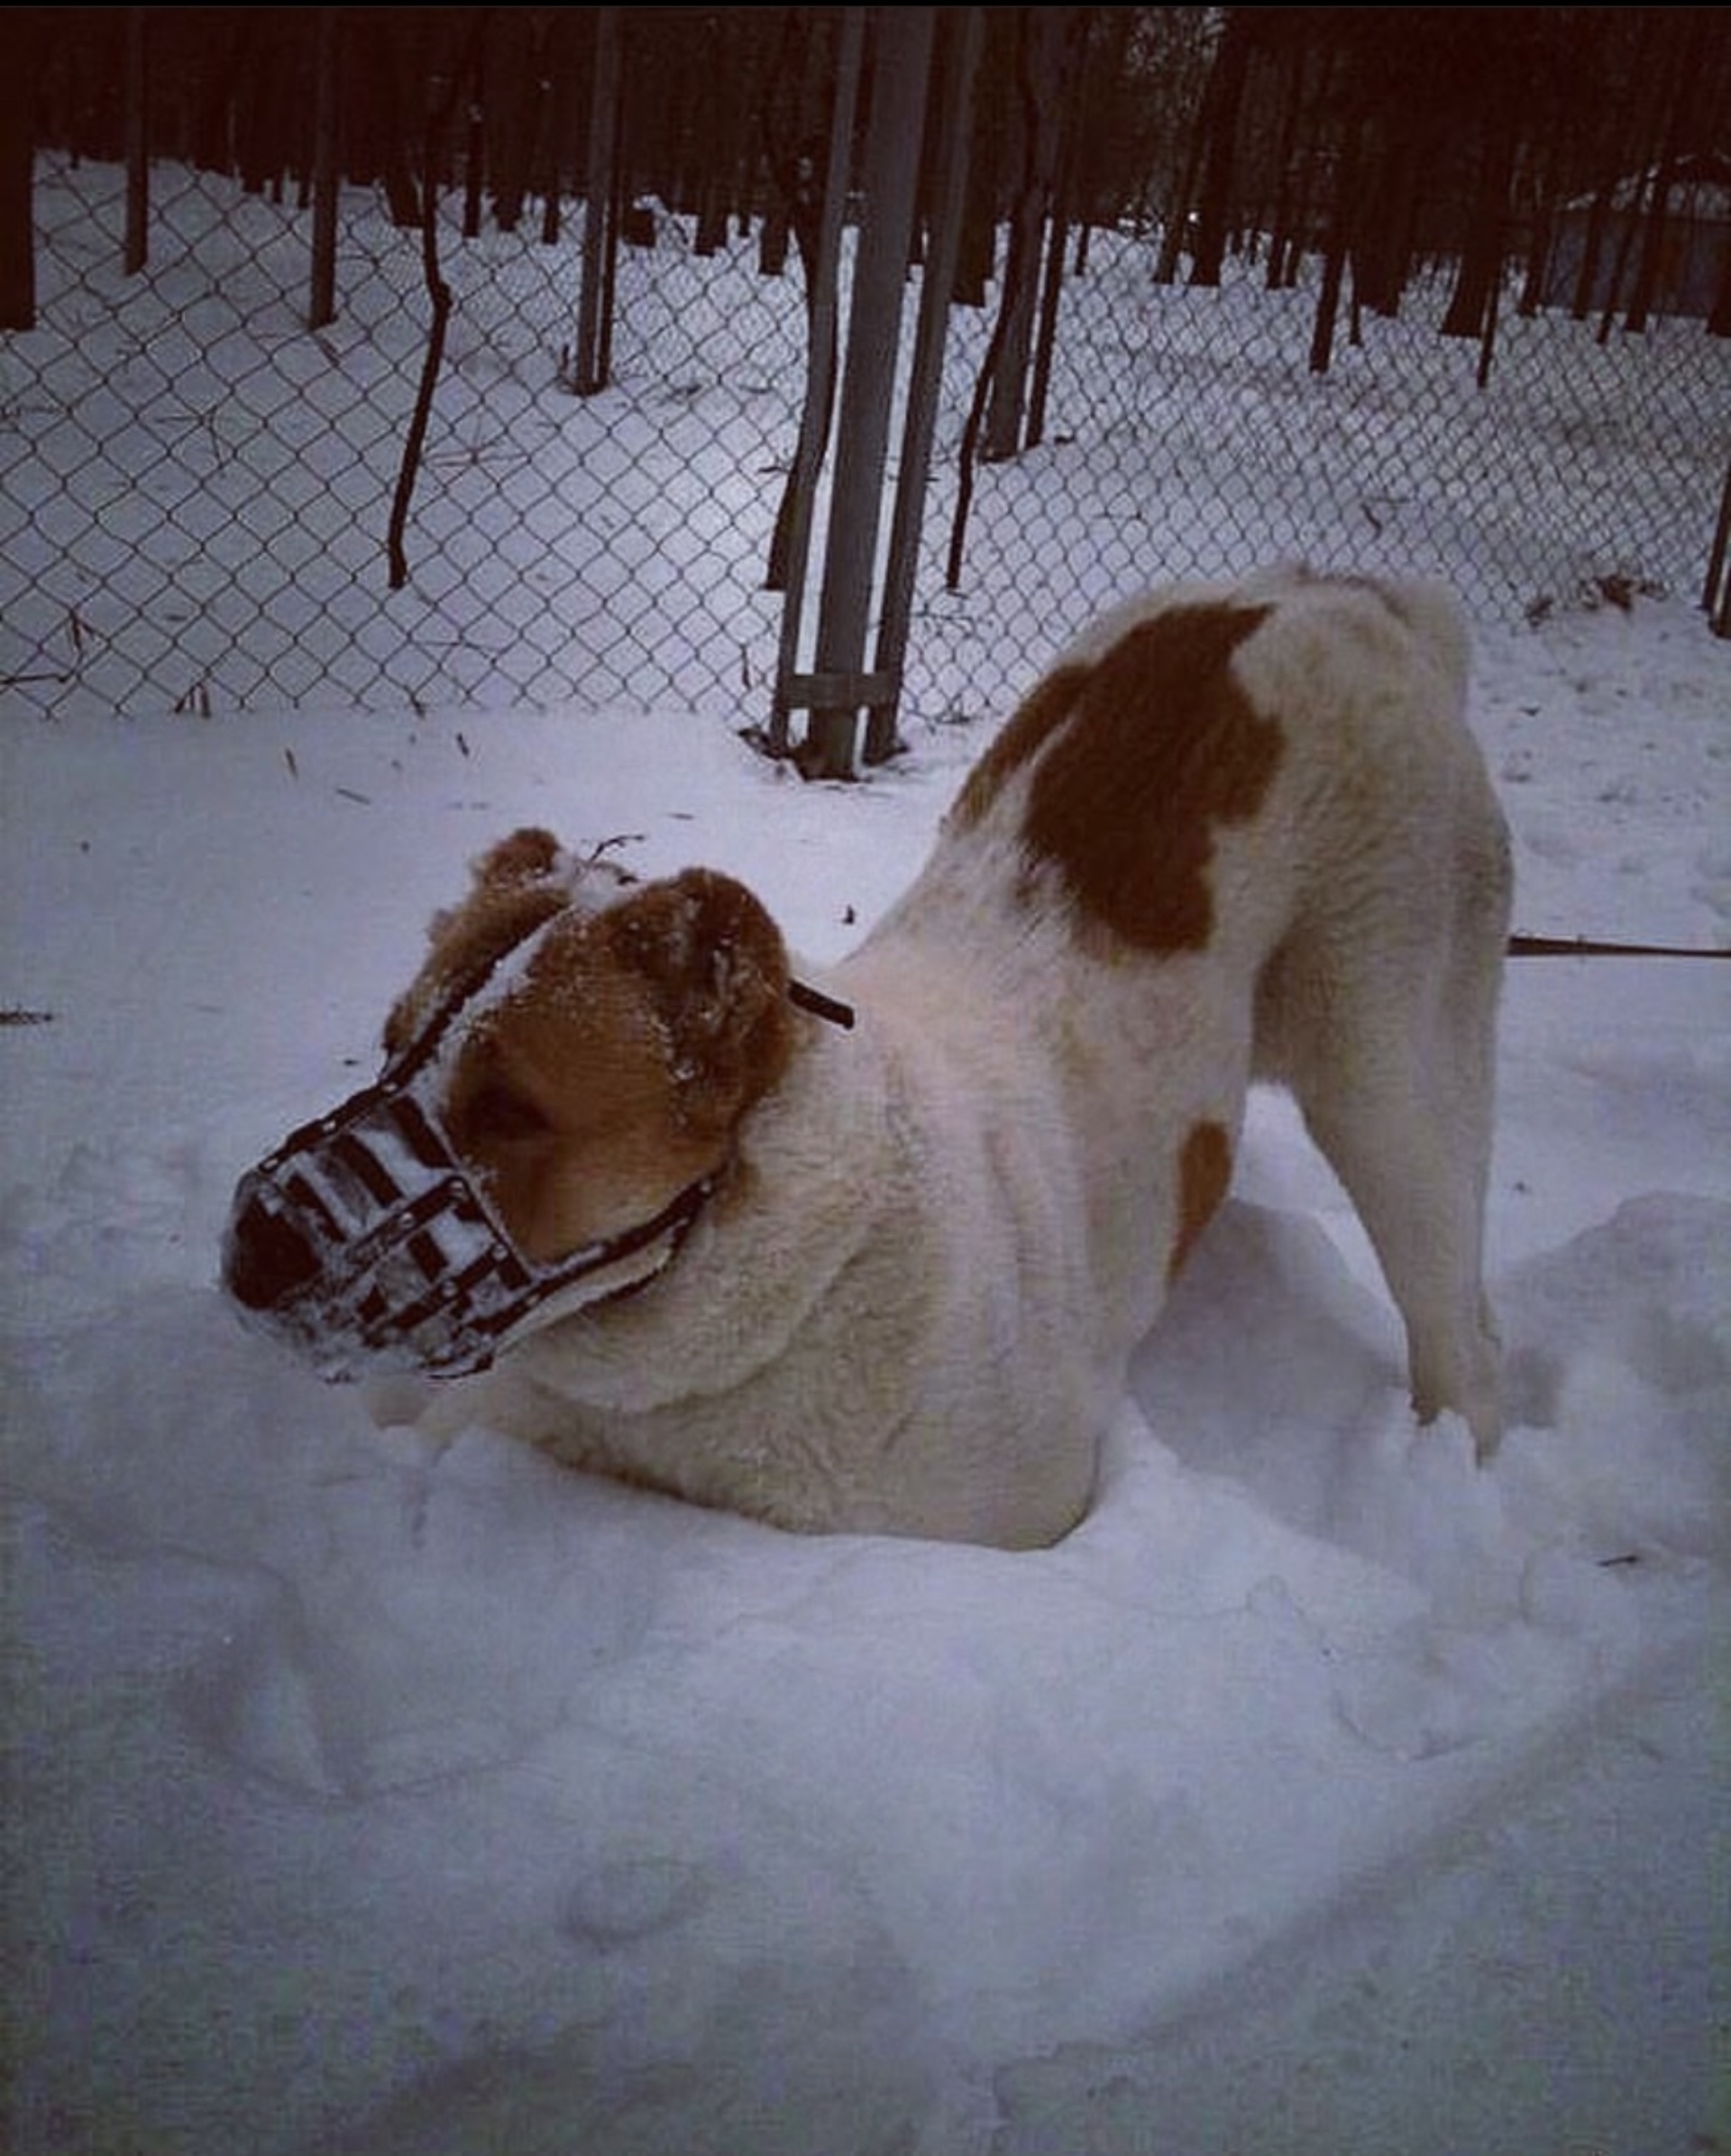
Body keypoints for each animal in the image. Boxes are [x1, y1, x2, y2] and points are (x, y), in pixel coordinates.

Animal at [223, 569, 1508, 1552]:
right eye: (392, 1045)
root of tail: (1347, 596)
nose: (256, 1241)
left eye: (511, 1108)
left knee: (1457, 1317)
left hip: (1391, 1078)